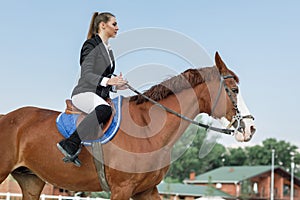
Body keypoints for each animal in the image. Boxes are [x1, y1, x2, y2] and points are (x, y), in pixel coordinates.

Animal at [0, 52, 255, 199]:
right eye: (234, 90)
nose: (250, 129)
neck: (148, 130)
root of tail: (7, 117)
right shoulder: (122, 189)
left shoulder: (147, 190)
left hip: (31, 182)